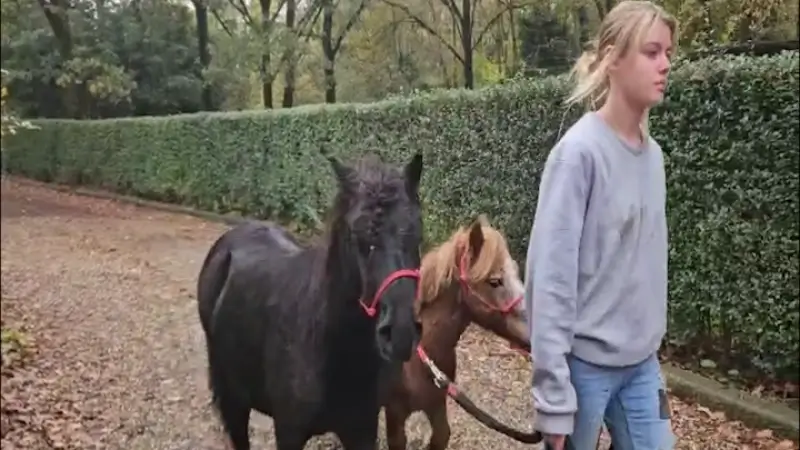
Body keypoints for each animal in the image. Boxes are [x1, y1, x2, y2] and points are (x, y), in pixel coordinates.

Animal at [196, 151, 425, 450]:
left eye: (417, 235)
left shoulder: (362, 429)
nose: (400, 333)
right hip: (234, 400)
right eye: (359, 238)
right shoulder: (288, 431)